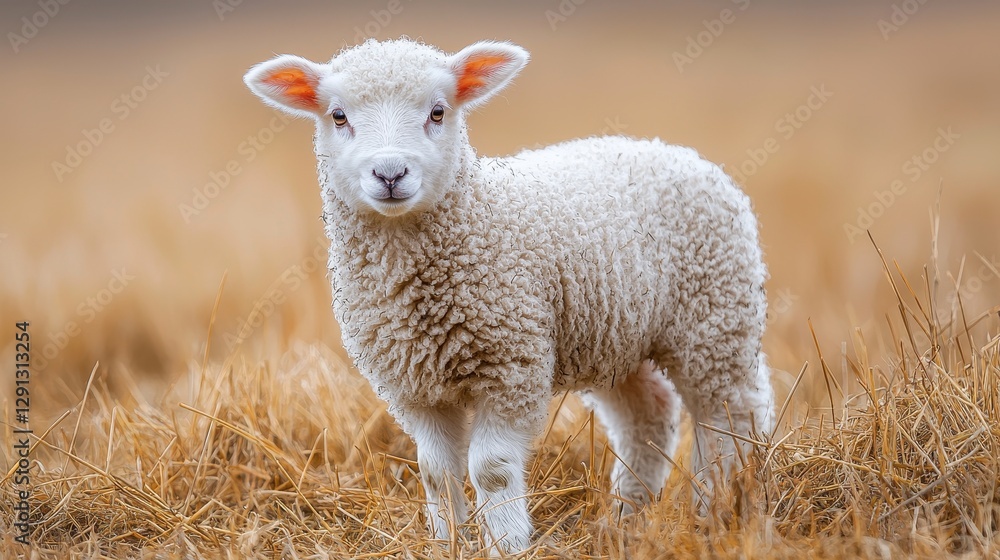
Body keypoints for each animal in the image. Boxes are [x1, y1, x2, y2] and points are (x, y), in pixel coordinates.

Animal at [244, 38, 774, 554]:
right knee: (648, 415)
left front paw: (505, 543)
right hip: (617, 334)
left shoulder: (511, 366)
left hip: (716, 316)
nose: (390, 174)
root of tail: (675, 150)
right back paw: (628, 519)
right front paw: (448, 542)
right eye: (338, 116)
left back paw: (721, 507)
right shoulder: (413, 386)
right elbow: (436, 472)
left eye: (438, 112)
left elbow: (492, 469)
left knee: (732, 416)